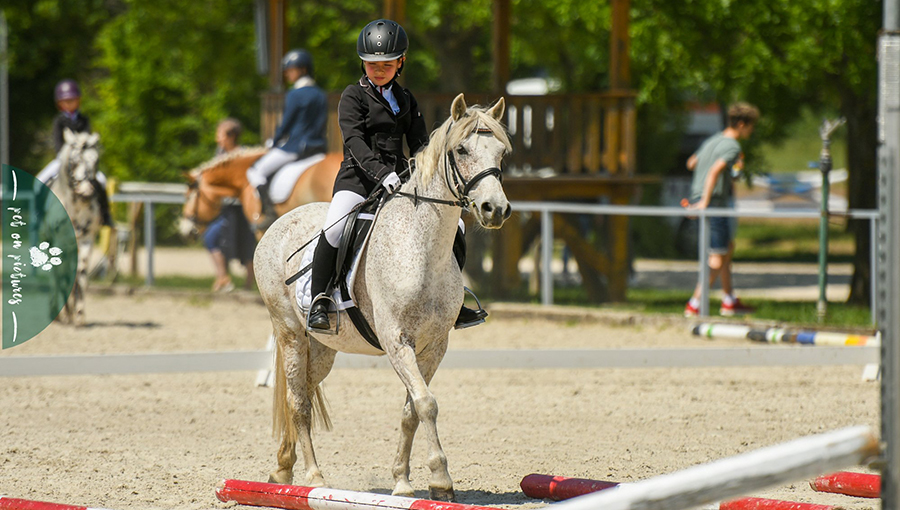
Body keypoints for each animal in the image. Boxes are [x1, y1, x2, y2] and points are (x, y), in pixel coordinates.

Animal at [49, 128, 103, 326]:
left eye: (96, 160)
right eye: (74, 160)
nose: (87, 192)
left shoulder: (86, 240)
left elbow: (80, 272)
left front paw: (79, 314)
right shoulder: (59, 242)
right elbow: (60, 272)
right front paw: (63, 313)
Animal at [256, 93, 512, 500]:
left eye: (502, 152)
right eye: (461, 150)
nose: (495, 209)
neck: (423, 249)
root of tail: (280, 222)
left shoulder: (434, 346)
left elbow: (412, 409)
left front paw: (403, 481)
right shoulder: (396, 341)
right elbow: (426, 403)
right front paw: (440, 479)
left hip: (324, 346)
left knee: (306, 393)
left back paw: (282, 468)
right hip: (290, 333)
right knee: (297, 402)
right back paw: (313, 477)